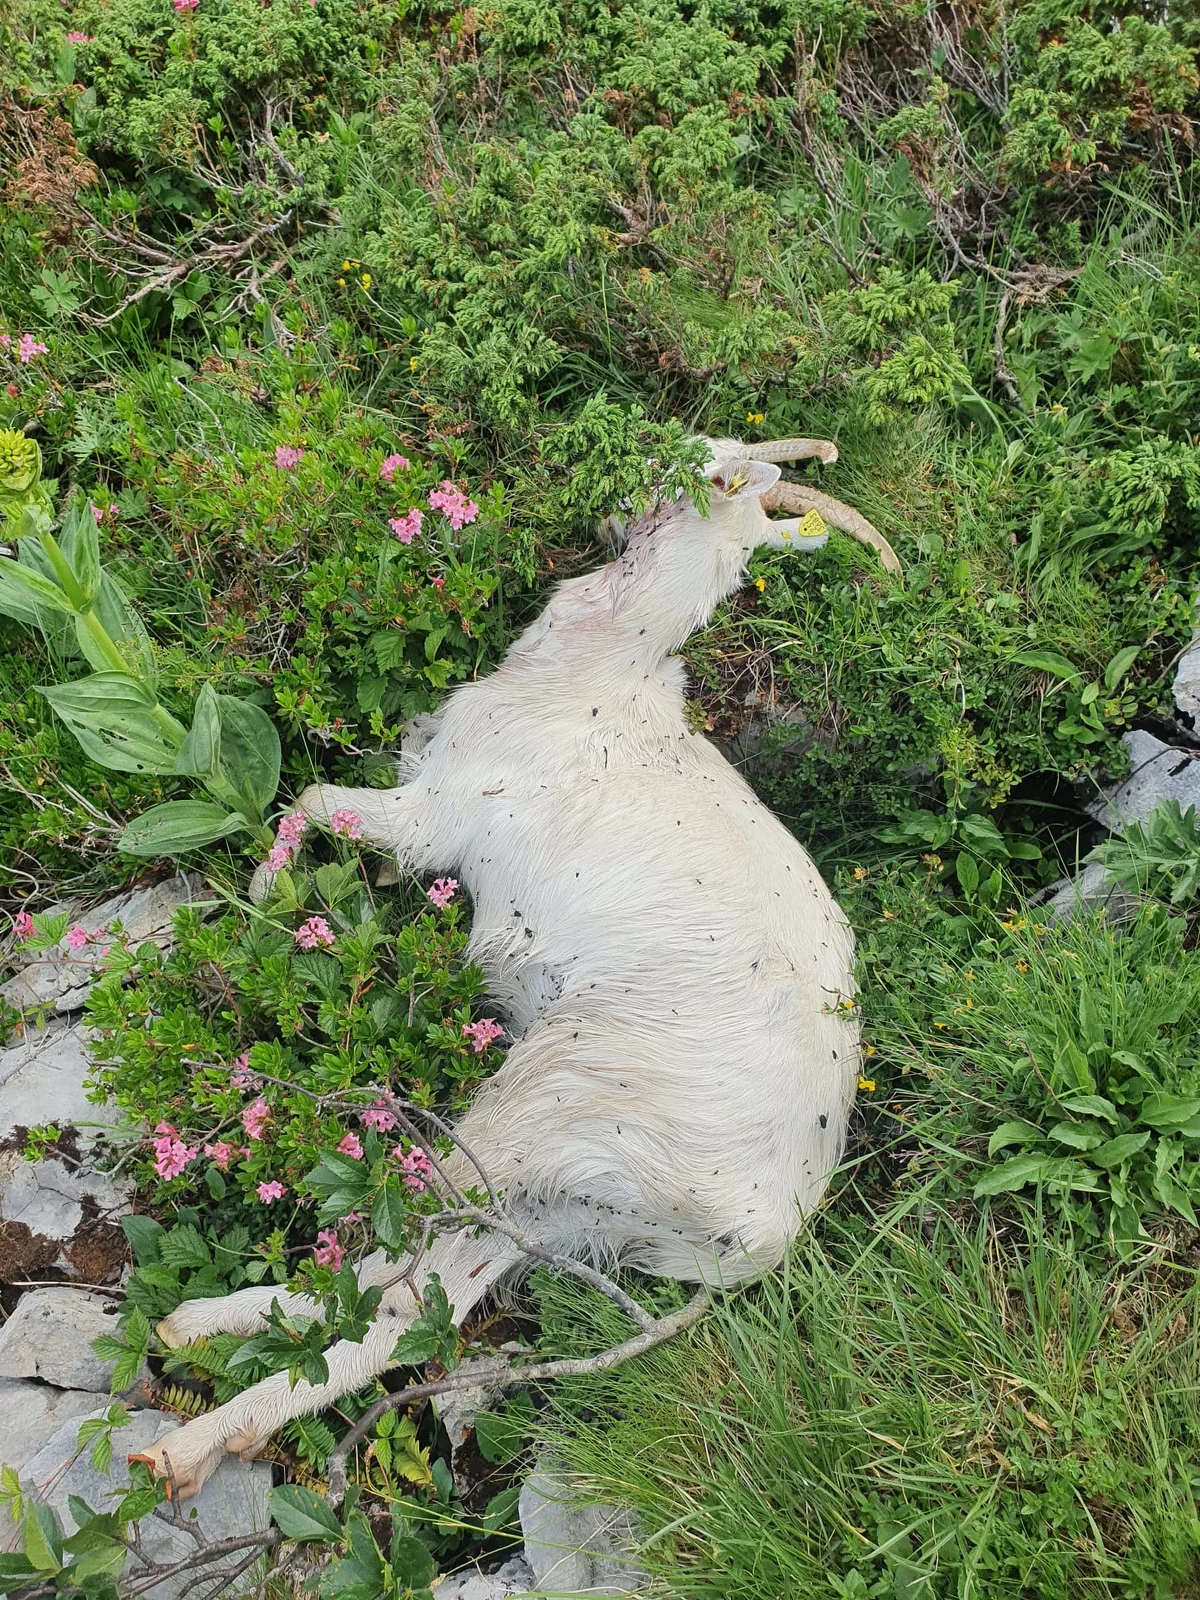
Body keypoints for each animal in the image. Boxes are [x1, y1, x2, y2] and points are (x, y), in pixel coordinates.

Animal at [134, 435, 893, 1497]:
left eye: (699, 471)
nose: (617, 500)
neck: (602, 672)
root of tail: (761, 1230)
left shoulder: (439, 816)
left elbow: (313, 801)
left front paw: (263, 894)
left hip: (549, 1102)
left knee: (403, 1274)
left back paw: (191, 1408)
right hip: (575, 1204)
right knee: (426, 1302)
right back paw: (201, 1373)